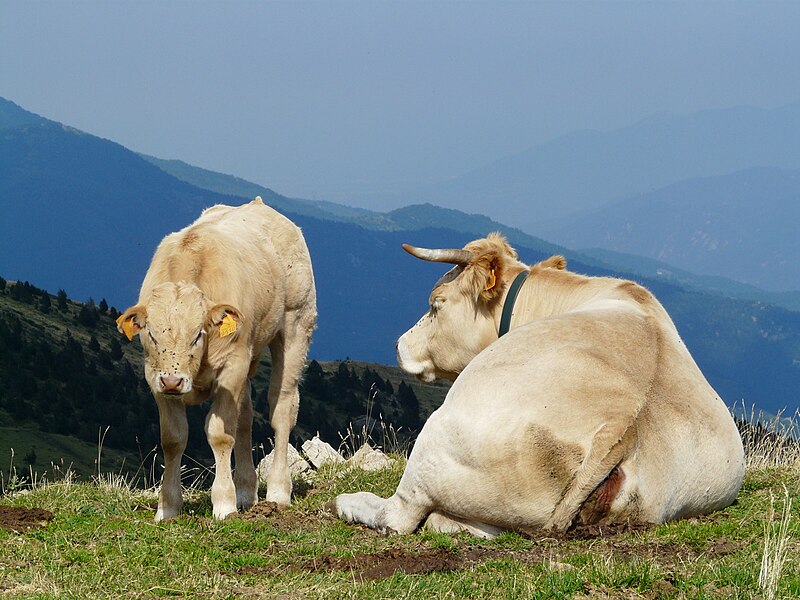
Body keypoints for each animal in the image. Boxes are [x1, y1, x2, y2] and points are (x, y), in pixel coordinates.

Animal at [118, 197, 316, 520]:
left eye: (198, 334)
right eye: (152, 335)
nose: (173, 382)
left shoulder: (232, 367)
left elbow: (220, 434)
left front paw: (224, 504)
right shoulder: (153, 375)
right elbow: (173, 438)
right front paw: (167, 508)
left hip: (296, 324)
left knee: (282, 408)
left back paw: (278, 491)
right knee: (245, 419)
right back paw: (247, 491)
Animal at [332, 232, 744, 536]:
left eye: (437, 303)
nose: (399, 344)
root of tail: (619, 429)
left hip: (435, 440)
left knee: (399, 515)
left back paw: (348, 501)